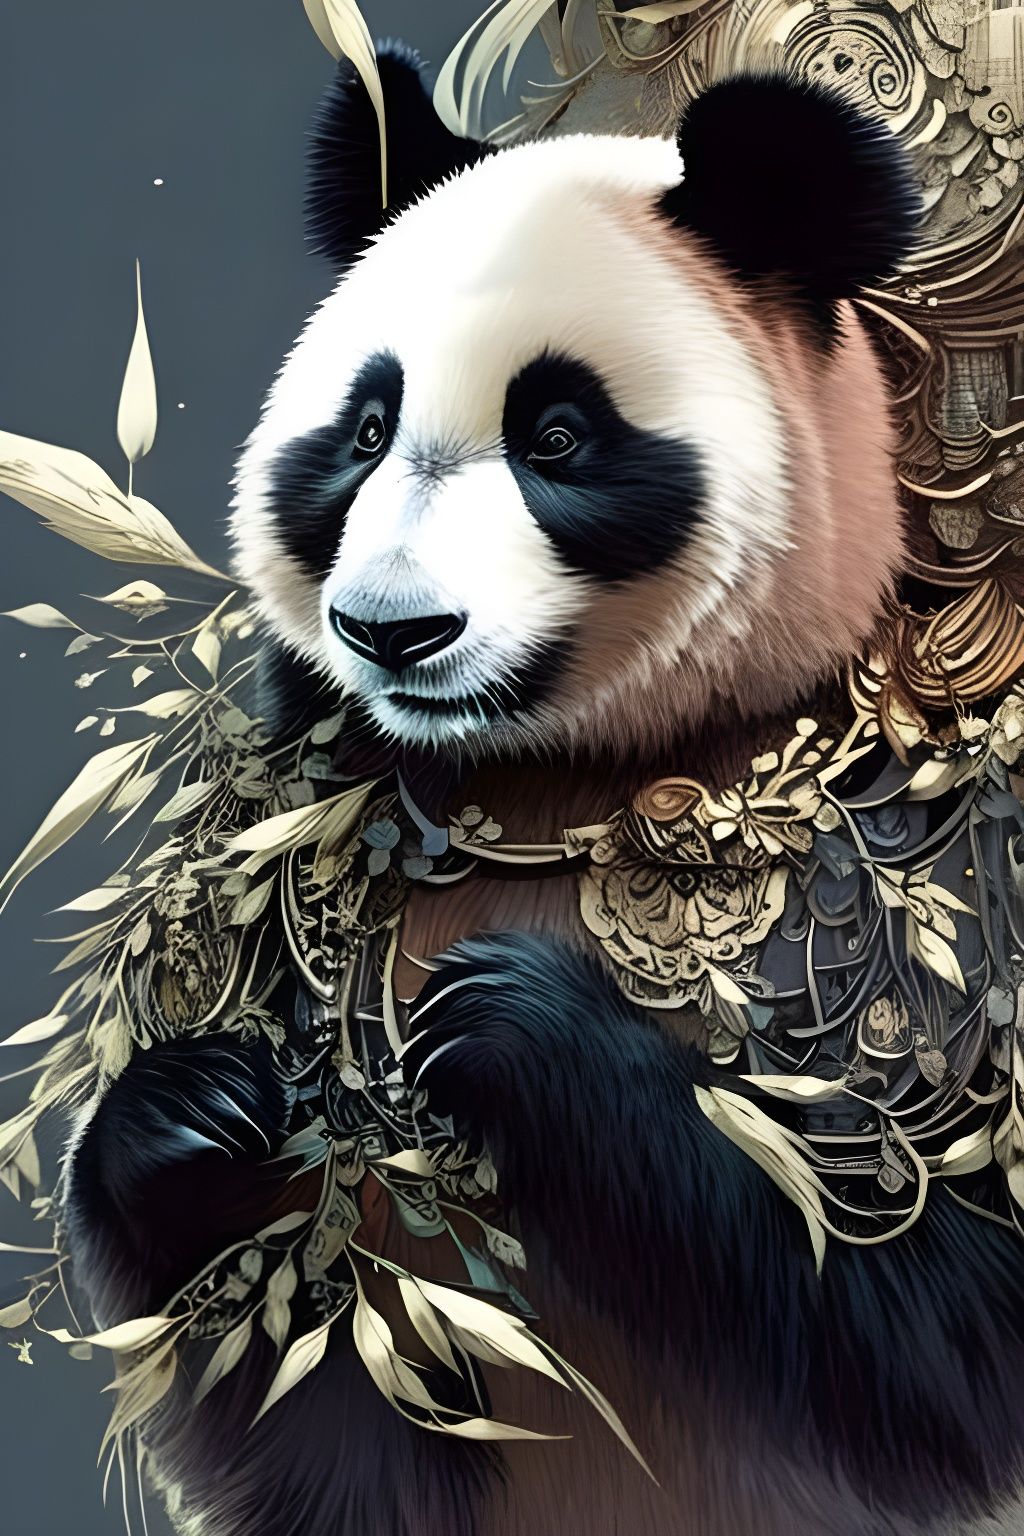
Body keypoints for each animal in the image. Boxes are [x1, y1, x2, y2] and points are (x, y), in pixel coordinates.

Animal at [62, 41, 1024, 1536]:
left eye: (559, 436)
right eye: (367, 428)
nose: (393, 632)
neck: (555, 772)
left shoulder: (945, 887)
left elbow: (938, 1326)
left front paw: (505, 1024)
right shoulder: (290, 815)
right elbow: (280, 1391)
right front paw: (194, 1114)